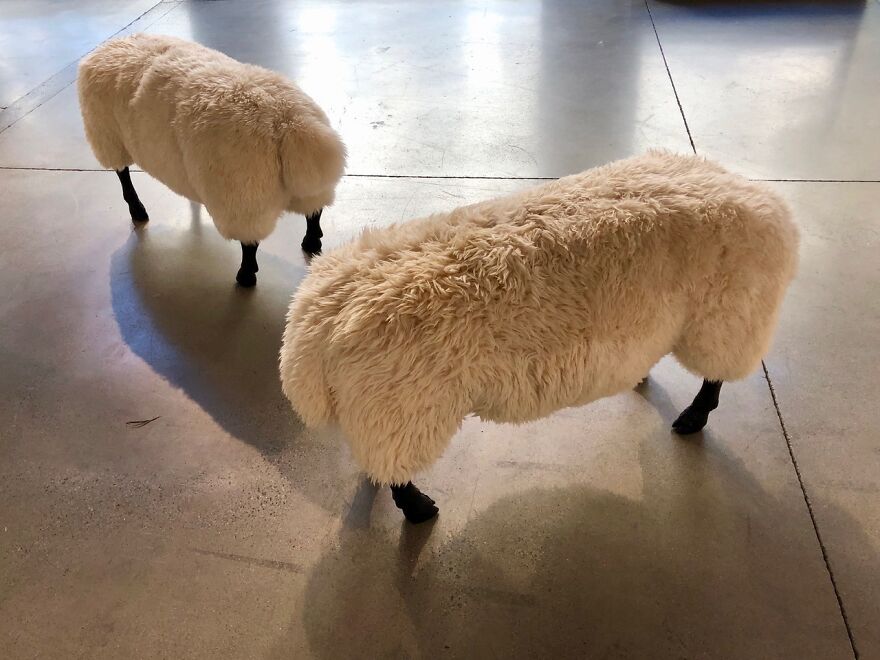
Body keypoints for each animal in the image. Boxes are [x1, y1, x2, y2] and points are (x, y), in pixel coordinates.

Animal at [78, 34, 346, 287]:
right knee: (314, 212)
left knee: (250, 241)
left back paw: (245, 276)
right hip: (300, 190)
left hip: (242, 195)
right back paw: (311, 242)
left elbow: (123, 177)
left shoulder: (111, 140)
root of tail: (290, 122)